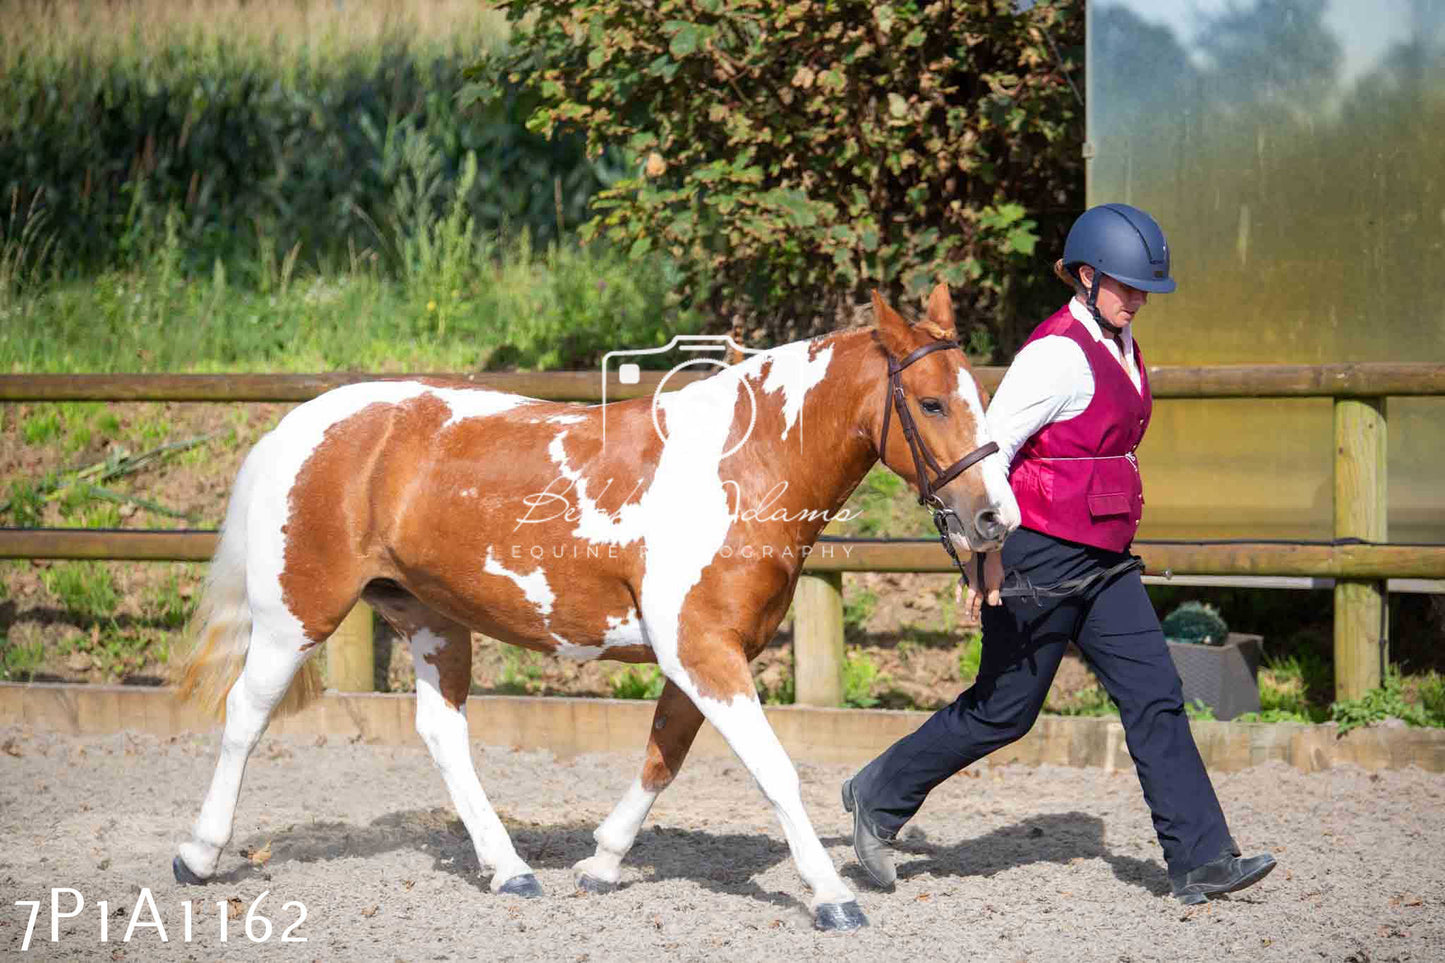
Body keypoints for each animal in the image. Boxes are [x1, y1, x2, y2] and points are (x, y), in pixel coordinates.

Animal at [174, 281, 1023, 925]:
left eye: (978, 397)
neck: (739, 467)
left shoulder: (701, 655)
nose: (994, 517)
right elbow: (775, 772)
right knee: (244, 714)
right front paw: (831, 895)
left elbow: (660, 758)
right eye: (931, 403)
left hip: (432, 620)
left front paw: (601, 862)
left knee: (442, 733)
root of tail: (297, 425)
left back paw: (510, 868)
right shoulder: (704, 653)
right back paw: (197, 853)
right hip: (297, 615)